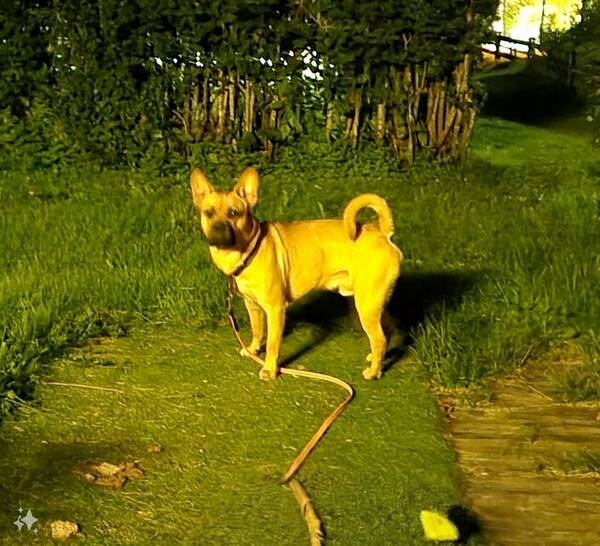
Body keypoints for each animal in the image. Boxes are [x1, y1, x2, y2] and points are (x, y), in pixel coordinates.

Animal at [189, 166, 404, 378]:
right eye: (208, 213)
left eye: (234, 213)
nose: (218, 227)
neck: (248, 248)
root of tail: (382, 232)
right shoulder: (253, 306)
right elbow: (257, 330)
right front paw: (253, 350)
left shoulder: (275, 309)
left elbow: (273, 344)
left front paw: (269, 368)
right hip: (372, 303)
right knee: (387, 331)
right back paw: (378, 360)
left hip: (366, 305)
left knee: (379, 338)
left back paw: (374, 371)